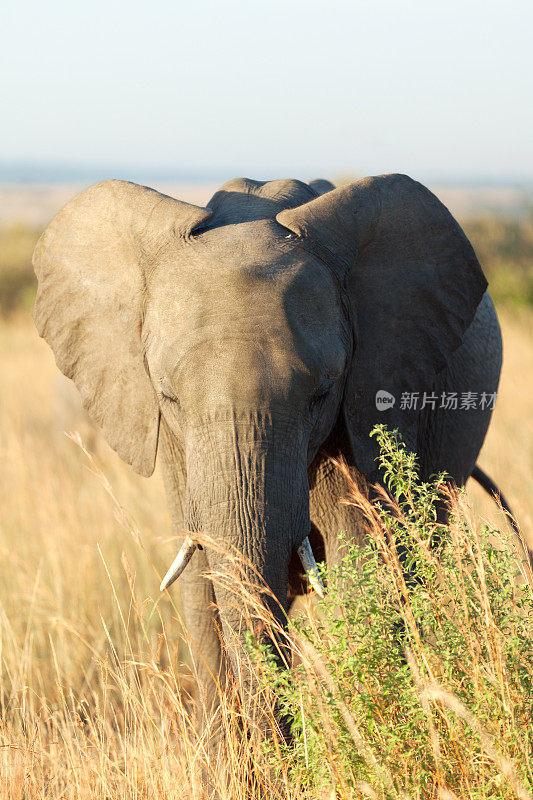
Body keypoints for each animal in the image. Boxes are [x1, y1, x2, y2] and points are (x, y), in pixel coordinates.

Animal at [33, 170, 508, 752]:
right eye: (168, 397)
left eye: (321, 393)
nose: (284, 747)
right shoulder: (179, 452)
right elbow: (203, 584)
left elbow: (363, 567)